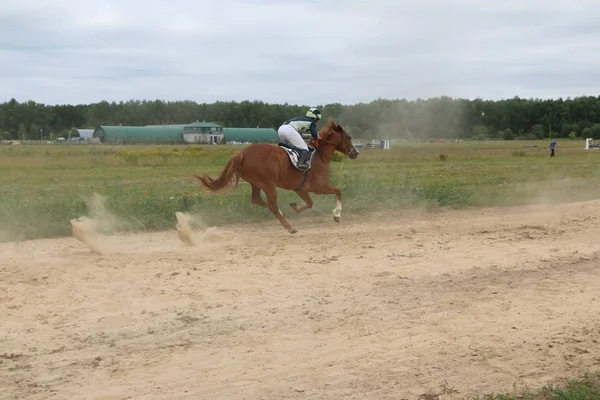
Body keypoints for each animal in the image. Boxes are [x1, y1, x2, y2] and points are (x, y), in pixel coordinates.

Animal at [195, 116, 358, 234]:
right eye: (348, 137)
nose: (356, 153)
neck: (320, 155)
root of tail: (242, 153)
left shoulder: (301, 189)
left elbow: (310, 203)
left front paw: (294, 207)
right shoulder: (319, 187)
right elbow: (338, 192)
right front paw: (337, 215)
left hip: (256, 183)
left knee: (257, 200)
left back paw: (282, 213)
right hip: (269, 184)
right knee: (272, 205)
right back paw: (289, 227)